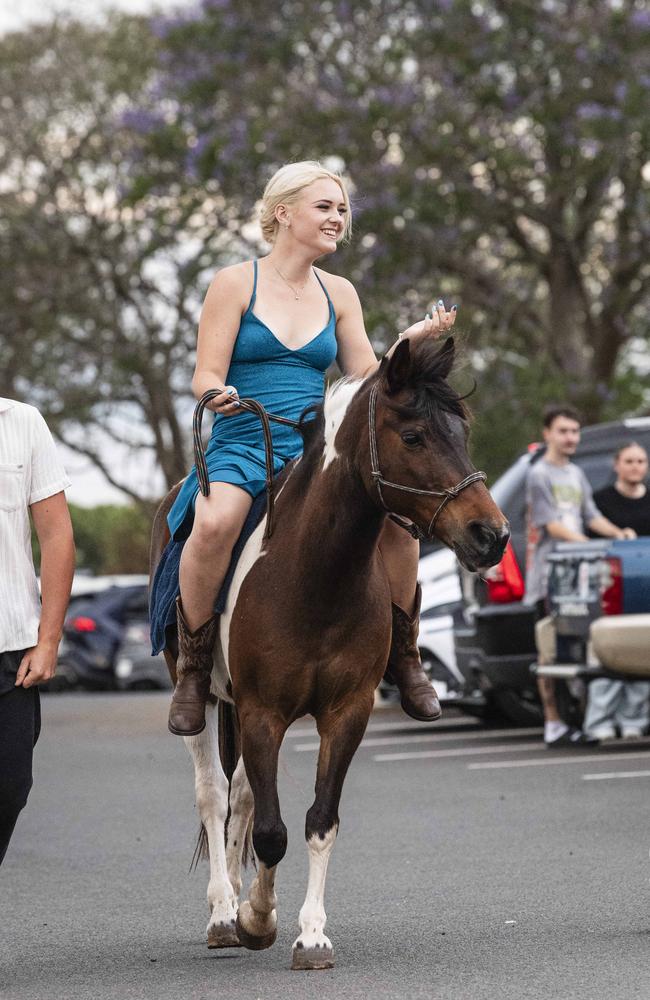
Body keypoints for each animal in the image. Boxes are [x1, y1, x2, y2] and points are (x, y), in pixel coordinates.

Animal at [151, 336, 506, 968]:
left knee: (241, 794)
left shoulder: (346, 714)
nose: (491, 535)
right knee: (214, 796)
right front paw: (256, 919)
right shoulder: (264, 713)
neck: (314, 572)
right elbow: (272, 830)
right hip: (209, 700)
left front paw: (309, 933)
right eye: (413, 436)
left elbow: (318, 820)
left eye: (460, 433)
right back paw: (223, 914)